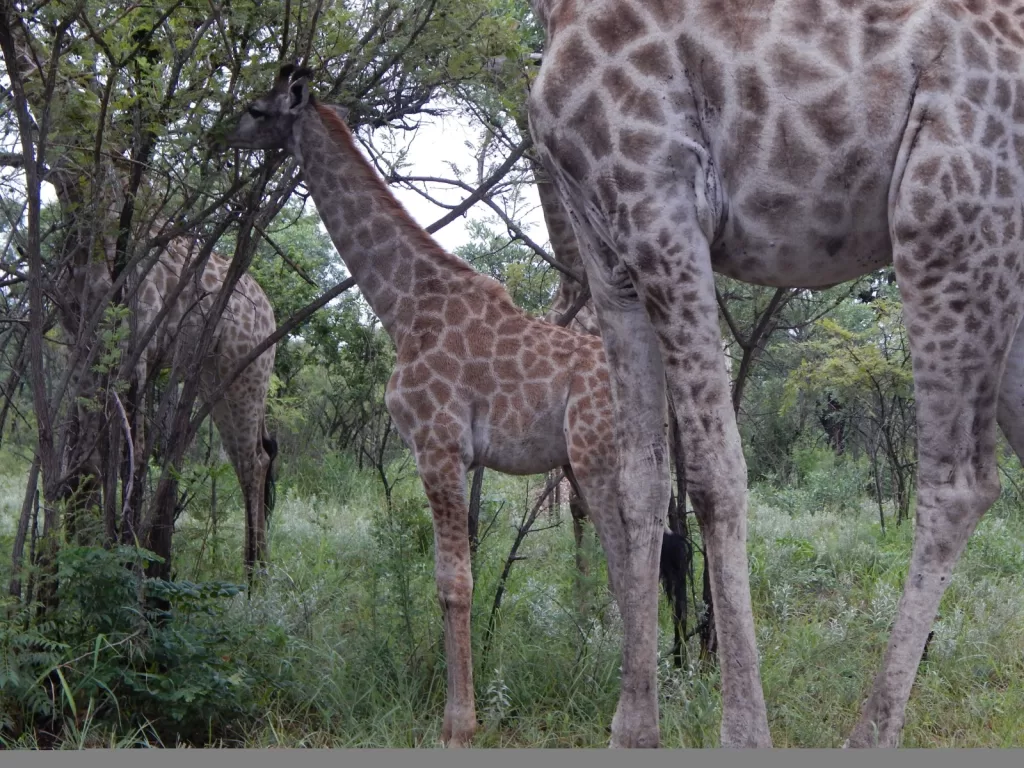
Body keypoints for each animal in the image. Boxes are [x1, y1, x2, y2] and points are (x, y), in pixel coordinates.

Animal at [220, 63, 675, 749]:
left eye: (256, 108)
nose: (222, 132)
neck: (403, 303)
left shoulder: (437, 443)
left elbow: (453, 583)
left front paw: (458, 724)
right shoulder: (456, 454)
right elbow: (461, 574)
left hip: (595, 458)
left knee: (629, 563)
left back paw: (633, 717)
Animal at [532, 0, 1024, 753]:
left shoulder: (661, 204)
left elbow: (715, 475)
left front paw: (741, 735)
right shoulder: (609, 253)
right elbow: (639, 478)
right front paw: (632, 732)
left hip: (947, 219)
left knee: (962, 481)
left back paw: (867, 738)